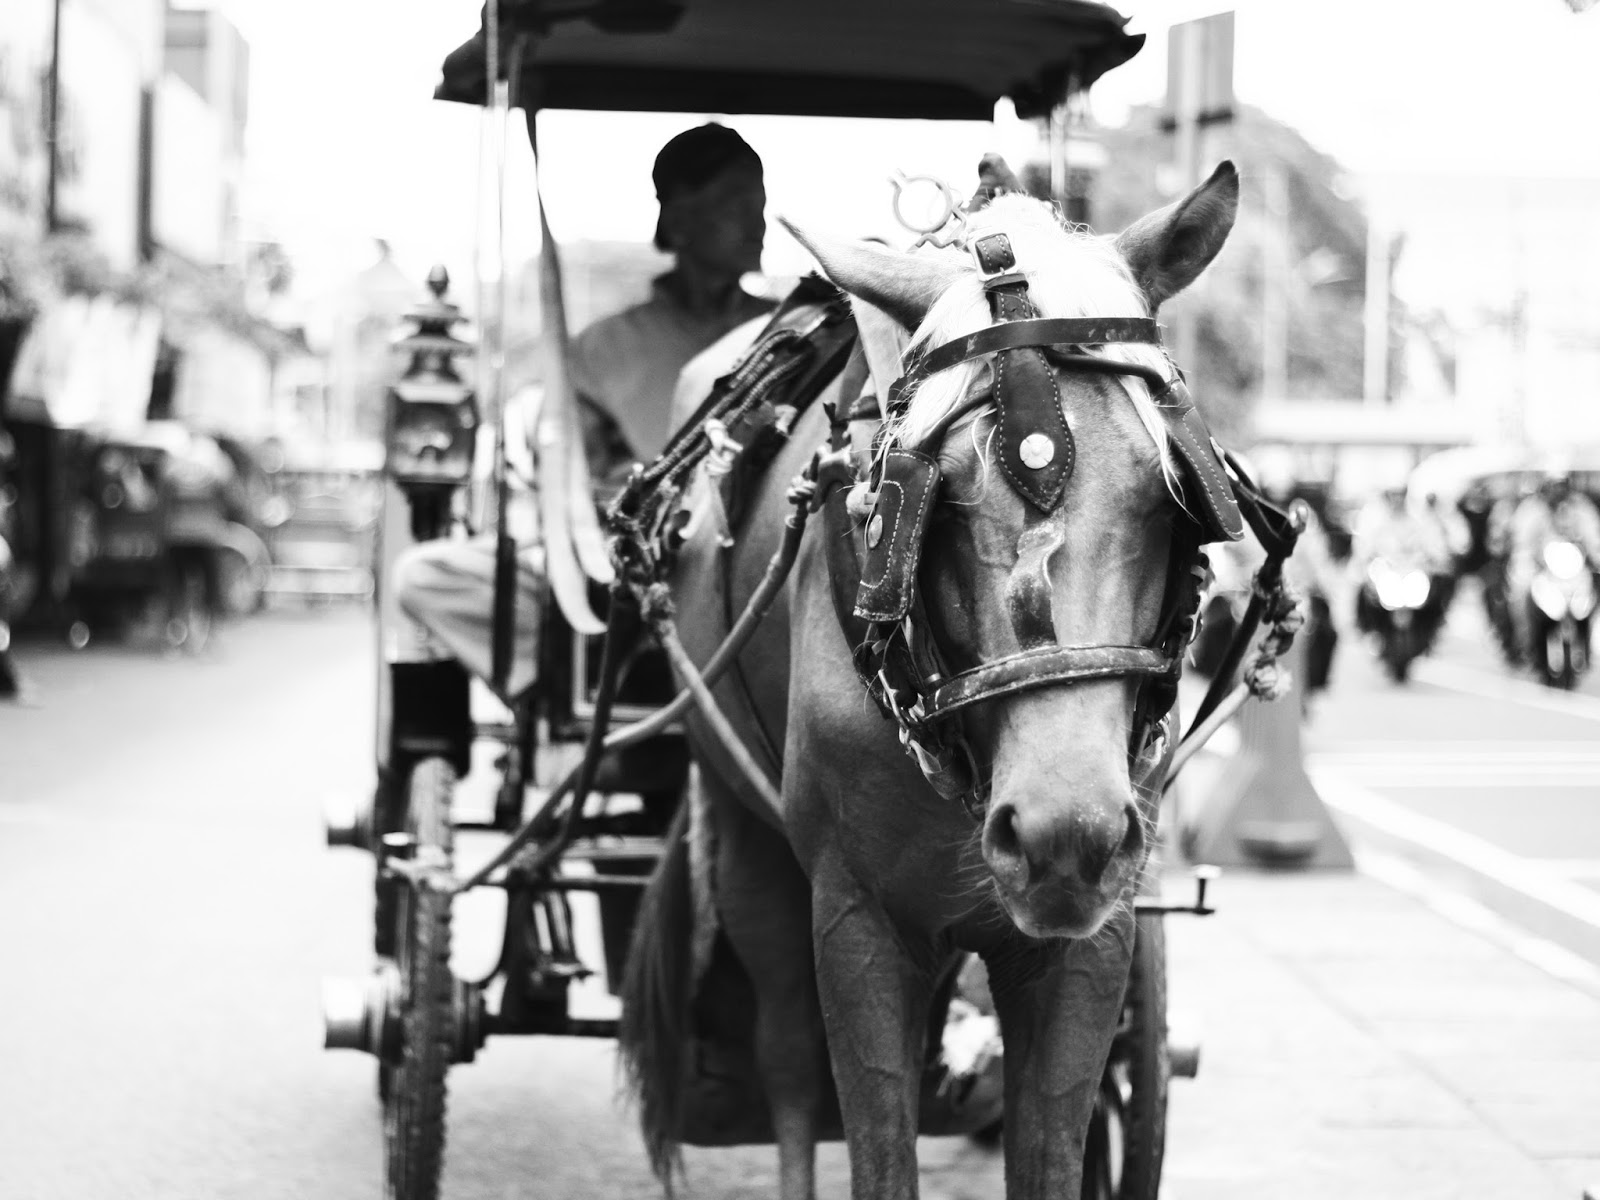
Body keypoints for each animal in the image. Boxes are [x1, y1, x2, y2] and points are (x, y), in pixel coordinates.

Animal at [620, 160, 1240, 1200]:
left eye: (1171, 499)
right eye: (936, 501)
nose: (1063, 833)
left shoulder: (1094, 933)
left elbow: (1049, 1151)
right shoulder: (857, 922)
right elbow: (875, 1142)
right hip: (746, 831)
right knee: (787, 1059)